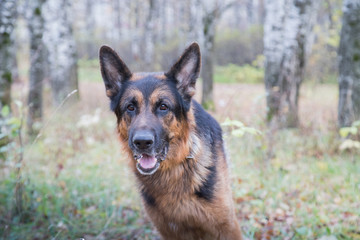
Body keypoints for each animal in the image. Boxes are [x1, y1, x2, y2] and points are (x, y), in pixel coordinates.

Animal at [98, 42, 242, 239]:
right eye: (130, 107)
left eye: (163, 106)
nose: (142, 142)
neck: (174, 170)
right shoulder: (169, 231)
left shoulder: (228, 228)